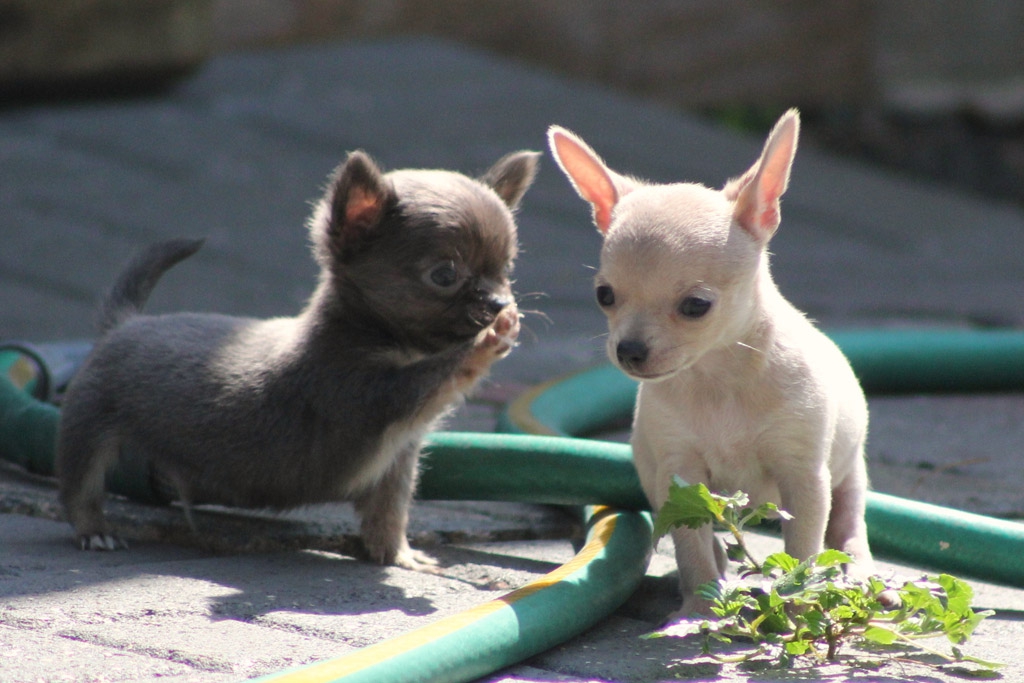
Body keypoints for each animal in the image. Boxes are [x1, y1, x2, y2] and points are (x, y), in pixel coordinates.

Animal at [56, 150, 540, 573]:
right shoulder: (368, 393)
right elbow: (438, 372)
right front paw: (486, 341)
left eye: (507, 270)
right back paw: (94, 530)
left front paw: (397, 555)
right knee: (79, 489)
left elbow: (389, 512)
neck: (388, 339)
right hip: (88, 427)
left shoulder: (397, 458)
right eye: (445, 275)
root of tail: (123, 324)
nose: (500, 303)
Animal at [548, 111, 876, 618]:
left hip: (849, 475)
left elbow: (803, 549)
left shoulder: (802, 476)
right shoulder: (680, 474)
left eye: (696, 306)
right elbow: (690, 543)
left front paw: (797, 607)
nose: (629, 350)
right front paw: (701, 608)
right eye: (604, 295)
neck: (719, 380)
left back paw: (857, 572)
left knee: (847, 527)